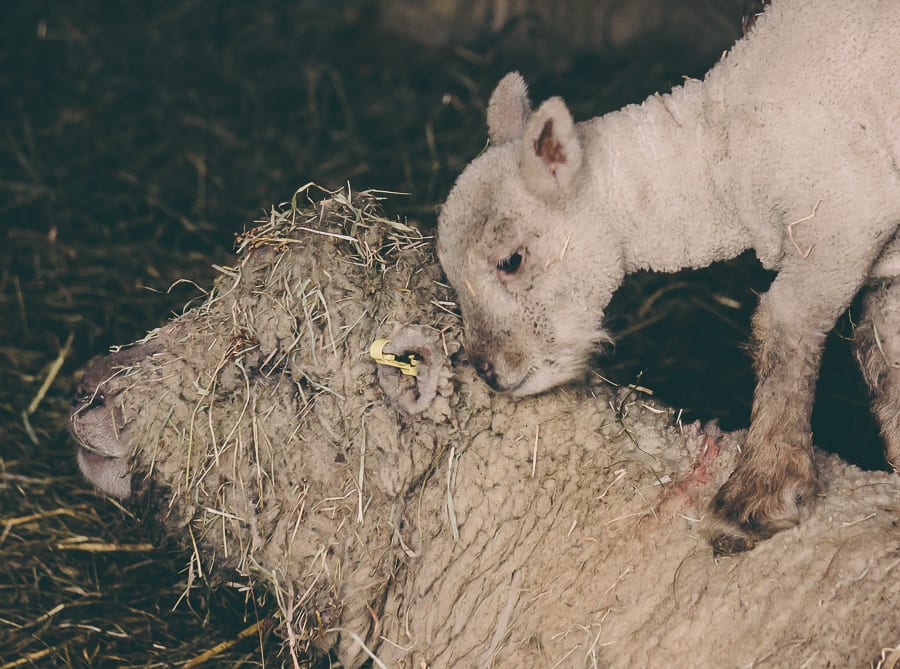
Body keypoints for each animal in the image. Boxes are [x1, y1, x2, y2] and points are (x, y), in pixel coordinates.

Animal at [436, 0, 900, 552]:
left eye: (511, 260)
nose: (488, 371)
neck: (724, 154)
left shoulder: (841, 220)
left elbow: (783, 327)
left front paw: (761, 490)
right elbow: (887, 359)